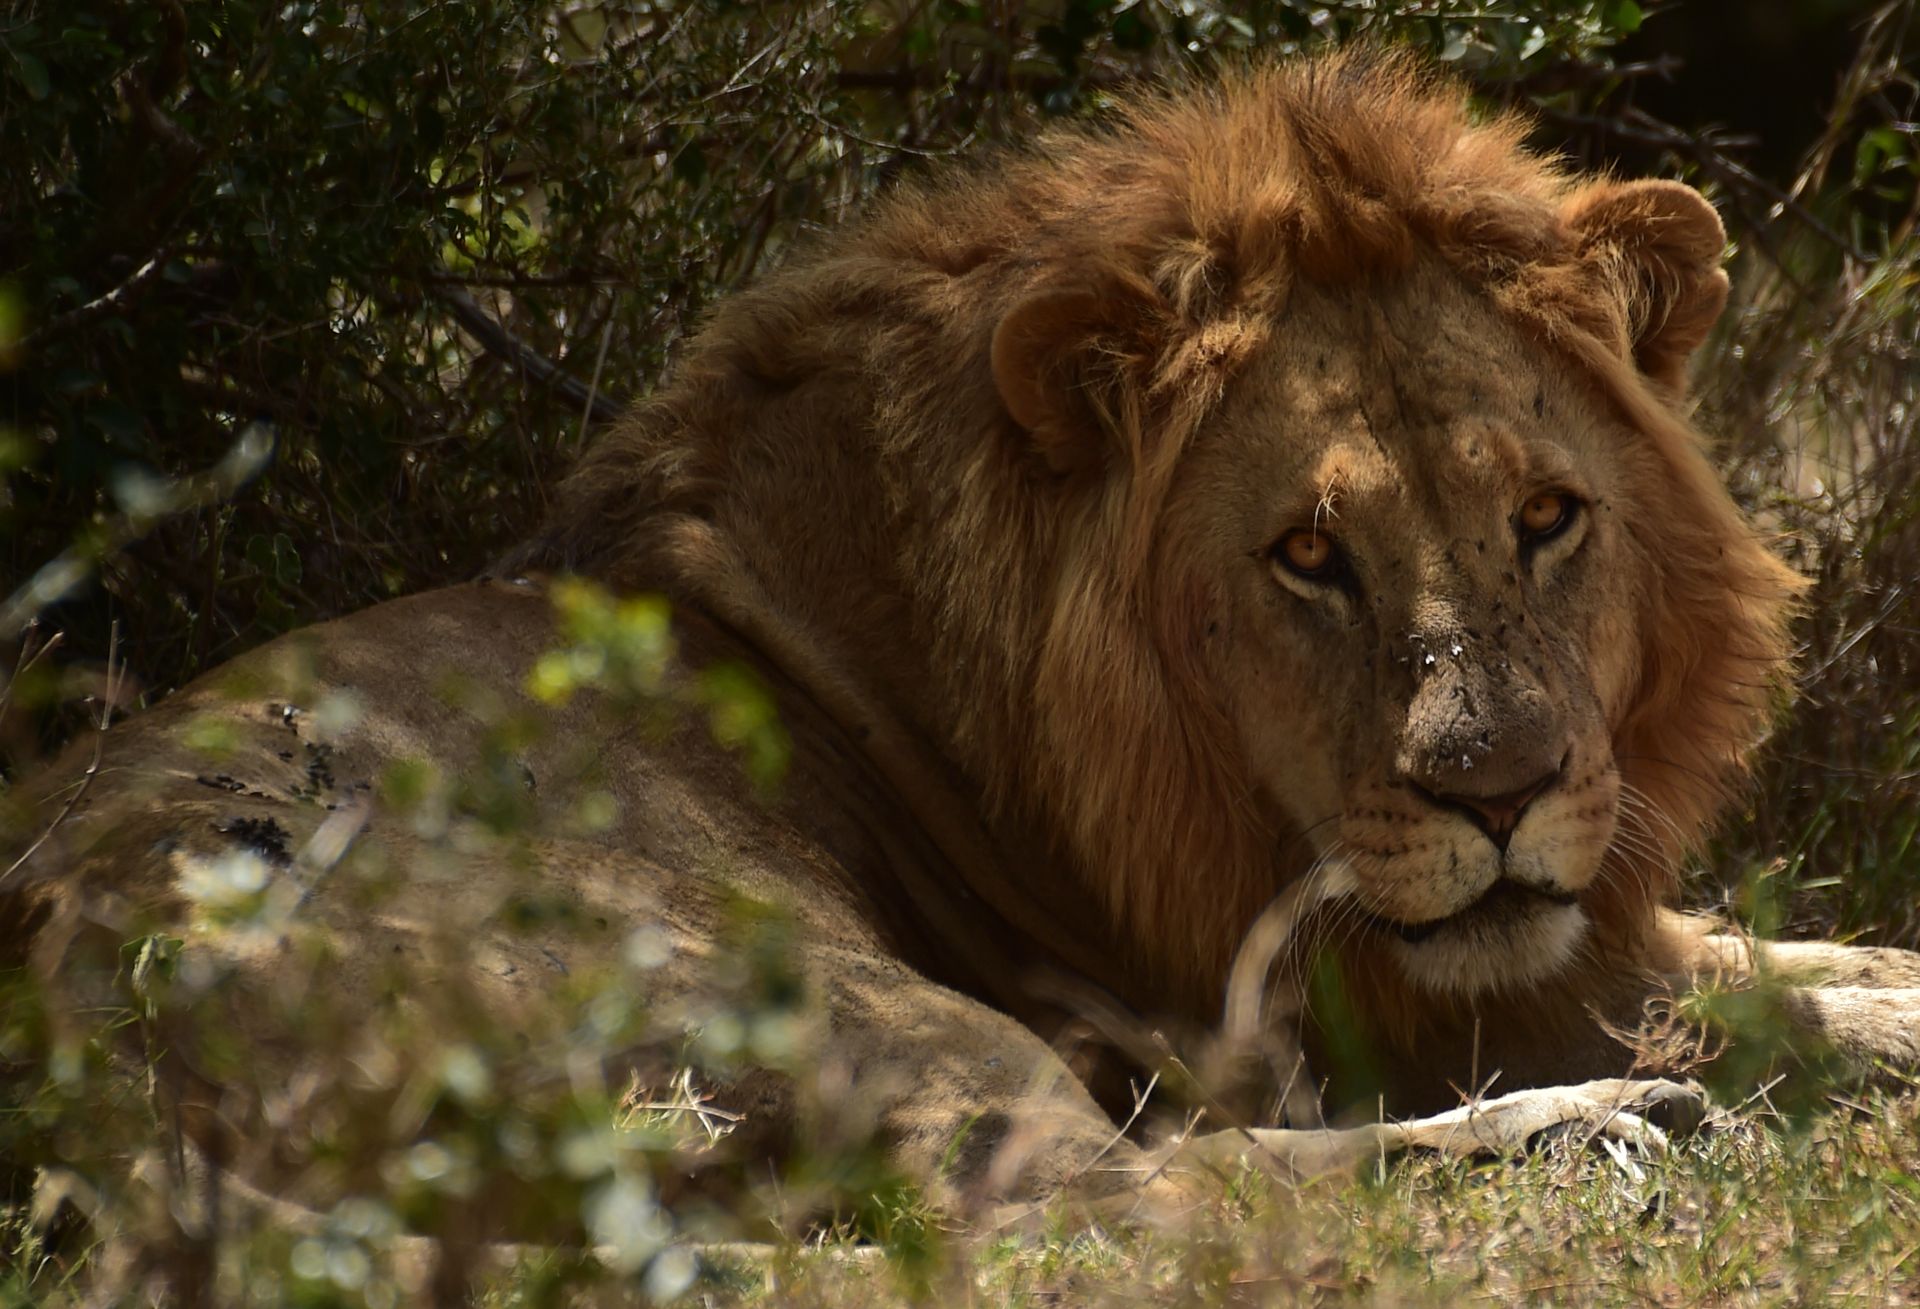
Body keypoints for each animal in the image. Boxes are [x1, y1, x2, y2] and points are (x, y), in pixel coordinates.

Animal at [9, 49, 1920, 1240]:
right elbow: (1788, 1013)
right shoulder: (1335, 997)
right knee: (1135, 1198)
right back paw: (1599, 1129)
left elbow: (1819, 960)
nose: (1506, 795)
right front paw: (1741, 1065)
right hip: (821, 985)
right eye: (1310, 555)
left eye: (1545, 515)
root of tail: (95, 1022)